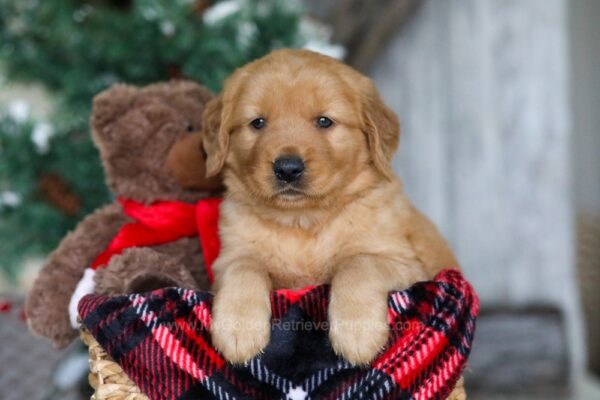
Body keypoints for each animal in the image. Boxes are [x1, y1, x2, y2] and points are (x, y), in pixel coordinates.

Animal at [202, 49, 460, 366]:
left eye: (324, 121)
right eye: (257, 123)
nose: (287, 169)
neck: (302, 220)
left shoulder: (407, 264)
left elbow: (357, 263)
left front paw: (357, 332)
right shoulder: (227, 259)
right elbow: (244, 266)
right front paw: (238, 327)